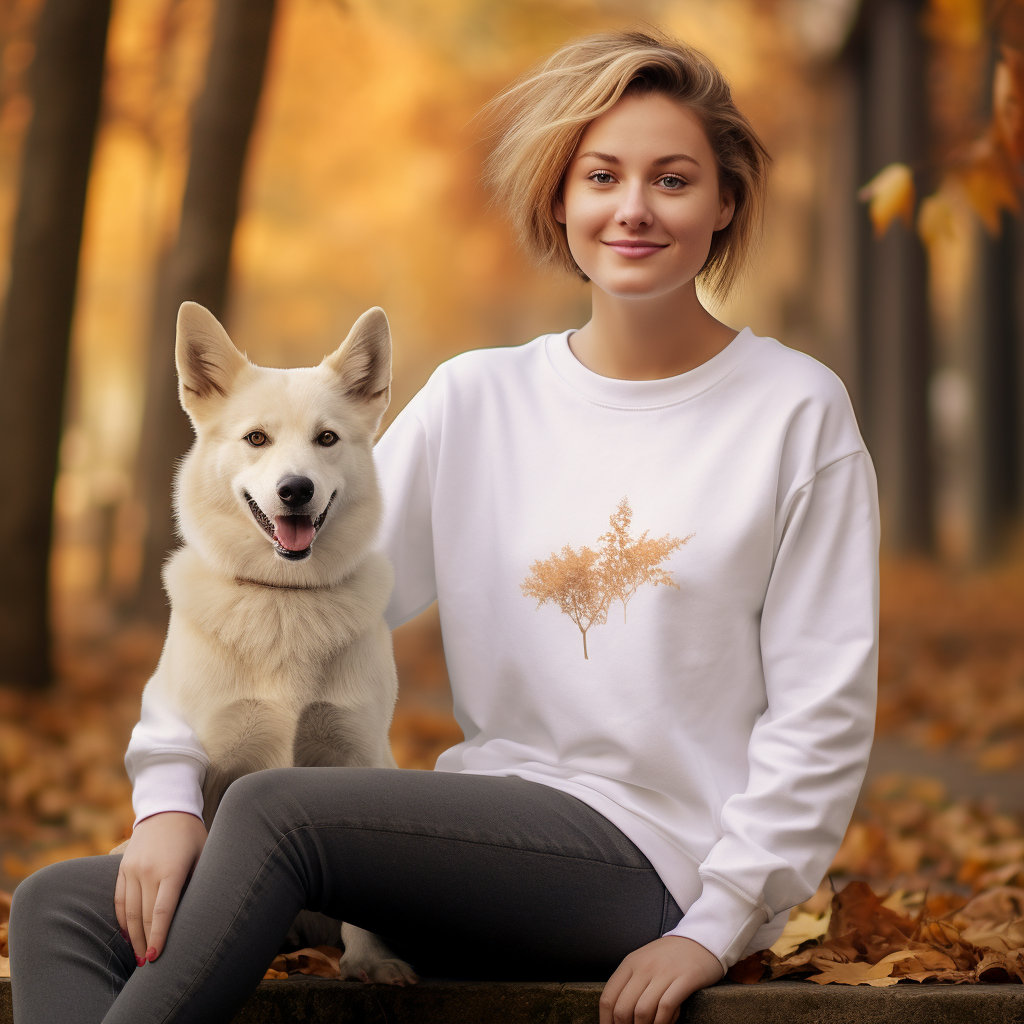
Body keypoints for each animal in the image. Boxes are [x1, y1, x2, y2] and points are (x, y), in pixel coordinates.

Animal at [130, 301, 413, 983]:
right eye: (256, 438)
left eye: (327, 439)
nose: (295, 490)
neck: (284, 598)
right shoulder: (211, 765)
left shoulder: (357, 756)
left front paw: (370, 962)